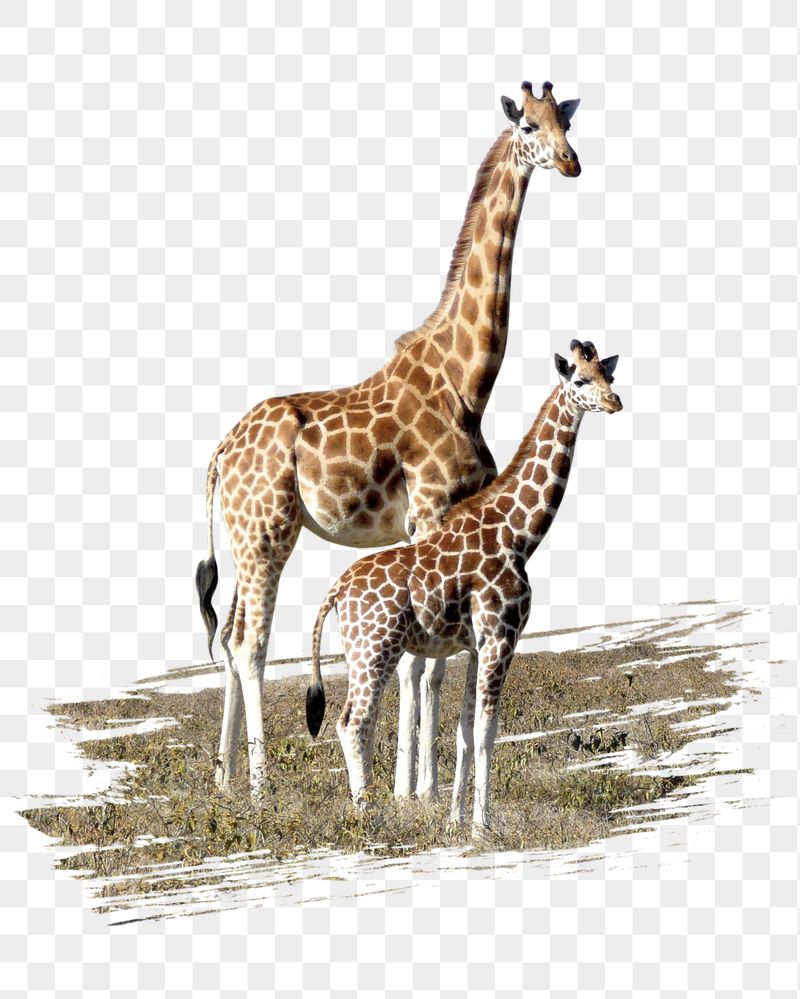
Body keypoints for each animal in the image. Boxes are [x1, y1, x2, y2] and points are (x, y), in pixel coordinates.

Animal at [196, 81, 582, 800]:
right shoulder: (430, 510)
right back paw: (260, 788)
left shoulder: (434, 525)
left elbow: (423, 662)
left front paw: (411, 787)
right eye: (528, 125)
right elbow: (421, 664)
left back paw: (224, 781)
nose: (571, 162)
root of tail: (220, 455)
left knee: (228, 636)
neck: (468, 379)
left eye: (565, 122)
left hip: (242, 535)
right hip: (269, 530)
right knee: (249, 643)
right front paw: (419, 790)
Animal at [306, 340, 621, 830]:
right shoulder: (500, 637)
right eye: (580, 380)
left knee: (355, 721)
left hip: (365, 651)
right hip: (374, 648)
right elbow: (488, 731)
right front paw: (481, 826)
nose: (614, 403)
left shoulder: (476, 645)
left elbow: (465, 732)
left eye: (610, 376)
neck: (519, 534)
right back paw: (368, 816)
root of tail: (336, 592)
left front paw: (455, 819)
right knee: (353, 722)